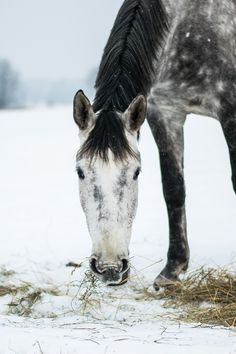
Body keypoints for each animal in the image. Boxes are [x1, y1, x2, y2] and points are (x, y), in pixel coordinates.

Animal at [73, 0, 236, 290]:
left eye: (136, 172)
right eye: (80, 172)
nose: (110, 268)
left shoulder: (230, 107)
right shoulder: (165, 111)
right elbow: (173, 189)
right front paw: (172, 271)